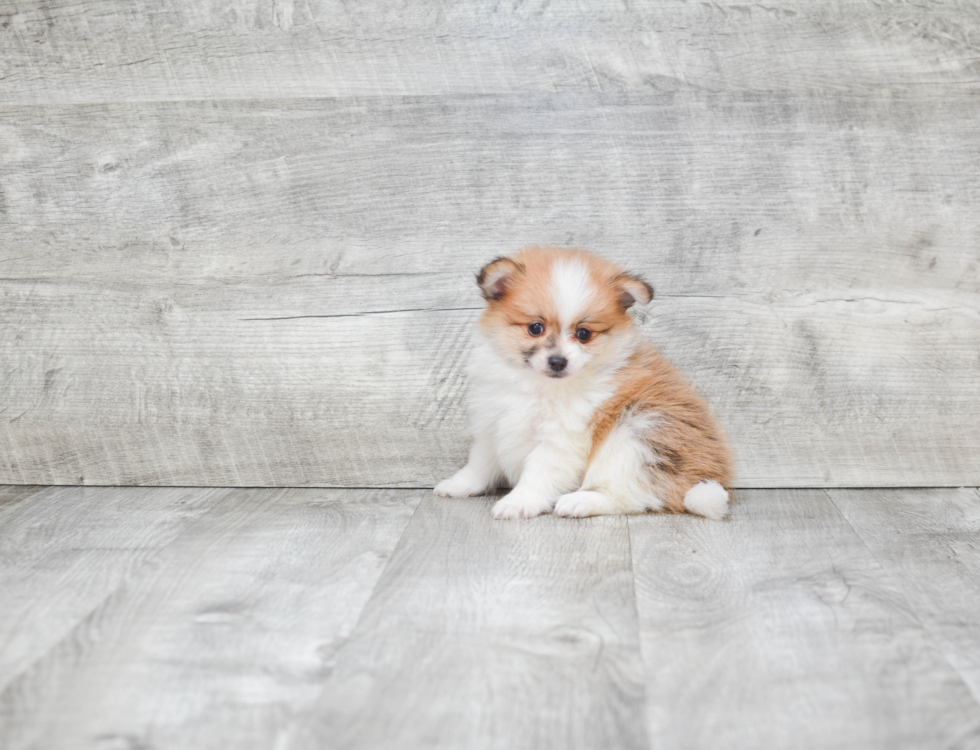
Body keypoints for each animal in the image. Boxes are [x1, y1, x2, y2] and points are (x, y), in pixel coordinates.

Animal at [432, 250, 732, 520]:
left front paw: (517, 502)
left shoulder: (561, 440)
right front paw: (458, 485)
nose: (558, 361)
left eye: (584, 334)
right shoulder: (492, 426)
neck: (538, 387)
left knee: (636, 496)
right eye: (535, 328)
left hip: (638, 435)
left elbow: (537, 475)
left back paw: (581, 502)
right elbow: (479, 465)